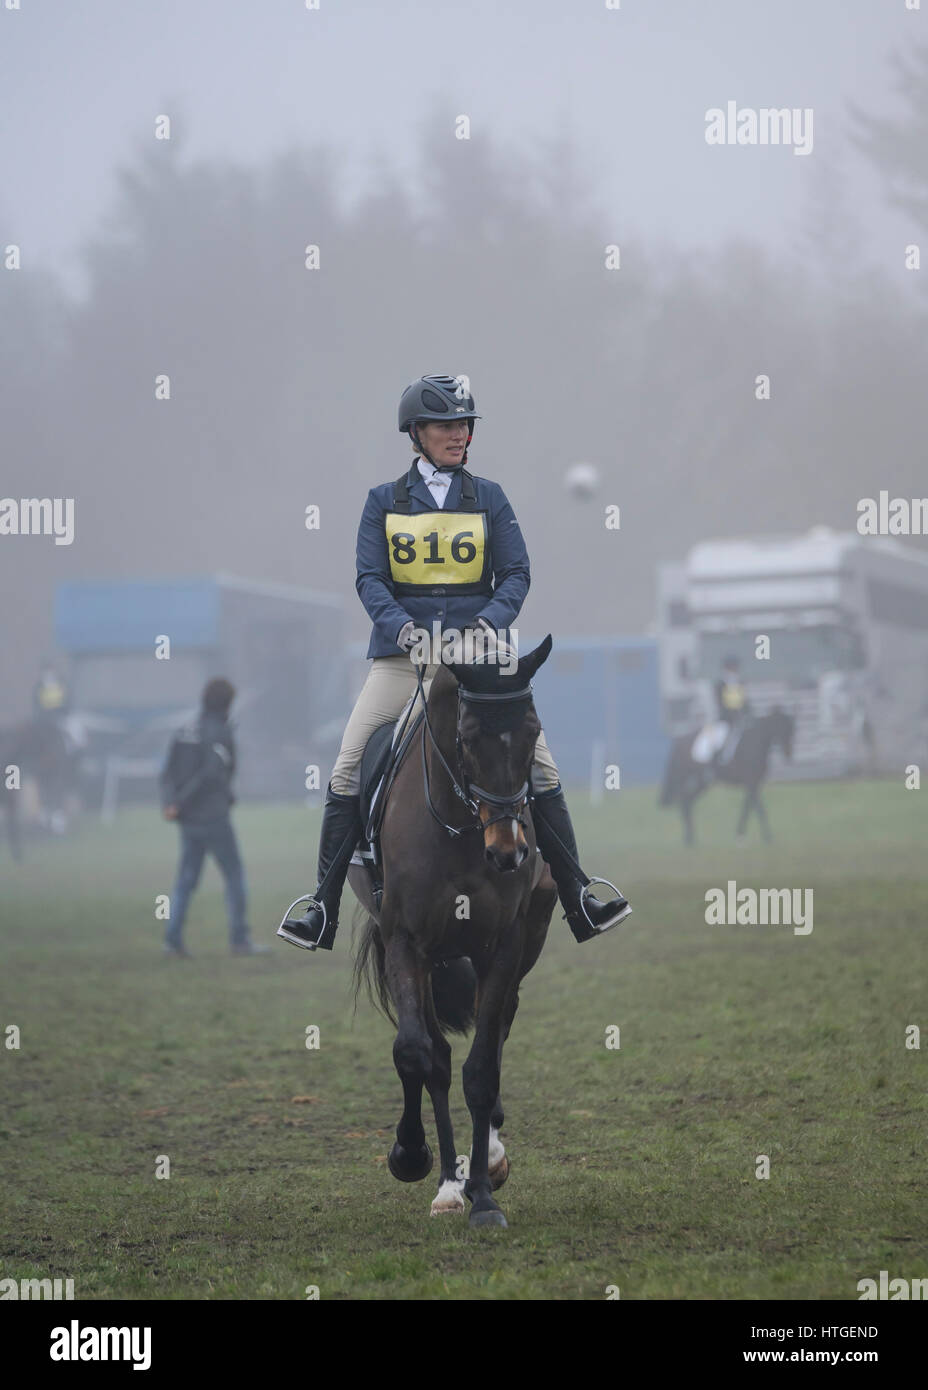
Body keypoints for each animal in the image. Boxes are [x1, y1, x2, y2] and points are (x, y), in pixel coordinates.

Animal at [350, 633, 558, 1228]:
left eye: (533, 732)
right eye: (467, 738)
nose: (510, 853)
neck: (462, 829)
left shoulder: (503, 947)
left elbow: (482, 1066)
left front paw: (483, 1196)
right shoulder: (405, 942)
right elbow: (417, 1053)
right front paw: (416, 1159)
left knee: (500, 1028)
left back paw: (488, 1156)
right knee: (436, 1055)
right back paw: (448, 1177)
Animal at [655, 706, 794, 845]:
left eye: (792, 728)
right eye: (782, 726)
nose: (788, 754)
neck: (754, 741)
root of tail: (679, 742)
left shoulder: (753, 783)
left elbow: (748, 806)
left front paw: (741, 834)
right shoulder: (751, 781)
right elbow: (759, 808)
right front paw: (765, 837)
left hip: (702, 782)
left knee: (687, 801)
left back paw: (690, 839)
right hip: (693, 780)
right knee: (684, 801)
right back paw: (689, 839)